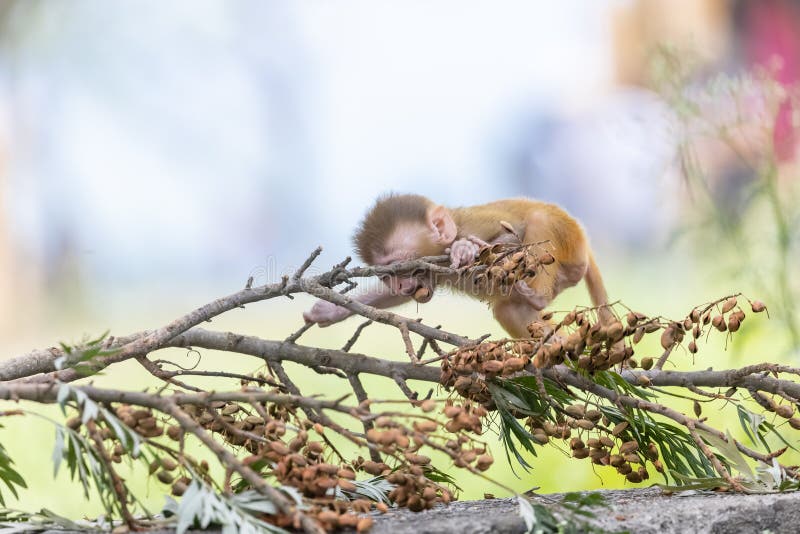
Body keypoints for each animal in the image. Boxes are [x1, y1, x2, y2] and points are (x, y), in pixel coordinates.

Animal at [302, 194, 612, 338]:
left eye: (403, 269)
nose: (400, 283)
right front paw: (329, 310)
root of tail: (583, 240)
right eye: (388, 276)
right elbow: (393, 298)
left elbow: (511, 237)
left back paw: (538, 297)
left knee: (538, 219)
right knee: (510, 309)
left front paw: (466, 249)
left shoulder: (473, 227)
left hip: (567, 238)